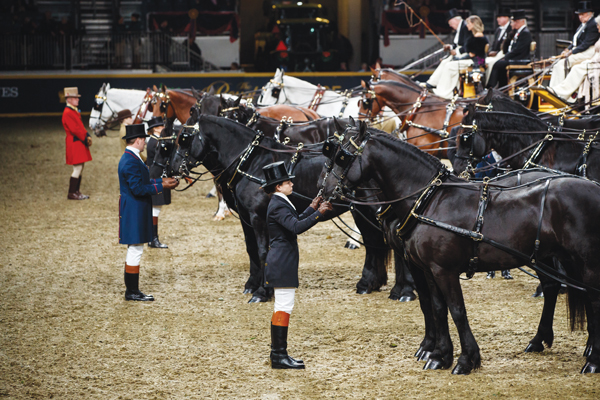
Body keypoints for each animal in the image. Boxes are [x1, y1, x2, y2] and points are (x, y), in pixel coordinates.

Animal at [157, 111, 414, 302]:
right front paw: (252, 285)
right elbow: (251, 250)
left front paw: (263, 292)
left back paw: (404, 291)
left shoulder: (259, 217)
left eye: (184, 138)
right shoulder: (246, 218)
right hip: (362, 210)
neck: (252, 161)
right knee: (374, 242)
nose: (169, 169)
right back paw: (370, 283)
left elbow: (263, 251)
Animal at [322, 122, 600, 376]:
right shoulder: (428, 268)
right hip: (551, 257)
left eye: (343, 156)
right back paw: (542, 341)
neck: (428, 200)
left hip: (585, 261)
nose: (325, 192)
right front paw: (439, 355)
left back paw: (593, 360)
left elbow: (456, 310)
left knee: (592, 297)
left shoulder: (443, 270)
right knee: (559, 289)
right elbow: (436, 307)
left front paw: (466, 359)